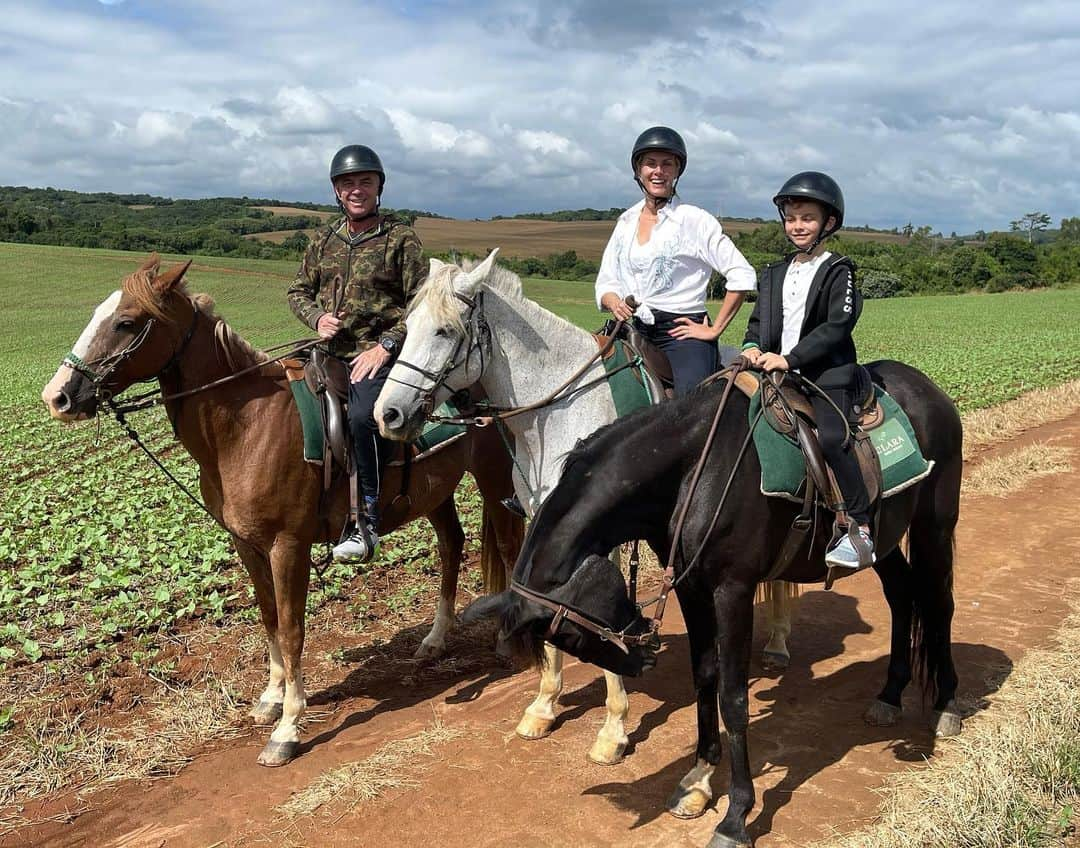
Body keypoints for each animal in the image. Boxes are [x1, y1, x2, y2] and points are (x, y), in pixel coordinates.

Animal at [44, 254, 524, 764]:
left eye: (127, 322)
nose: (57, 396)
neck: (245, 426)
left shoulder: (287, 546)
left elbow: (293, 629)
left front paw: (289, 726)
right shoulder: (247, 545)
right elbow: (270, 619)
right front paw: (271, 699)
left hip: (495, 479)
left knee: (508, 547)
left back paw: (506, 640)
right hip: (435, 494)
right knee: (452, 545)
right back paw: (434, 640)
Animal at [375, 249, 799, 773]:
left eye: (445, 331)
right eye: (407, 324)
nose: (387, 414)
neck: (558, 410)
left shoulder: (601, 534)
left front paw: (613, 730)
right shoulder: (545, 522)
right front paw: (543, 705)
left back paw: (778, 643)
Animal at [468, 358, 967, 846]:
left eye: (570, 634)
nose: (640, 661)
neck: (694, 470)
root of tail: (928, 389)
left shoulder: (734, 591)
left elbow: (733, 698)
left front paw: (736, 816)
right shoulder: (692, 588)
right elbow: (704, 678)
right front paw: (697, 781)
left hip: (934, 523)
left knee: (939, 603)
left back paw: (946, 705)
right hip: (885, 540)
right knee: (902, 596)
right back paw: (890, 695)